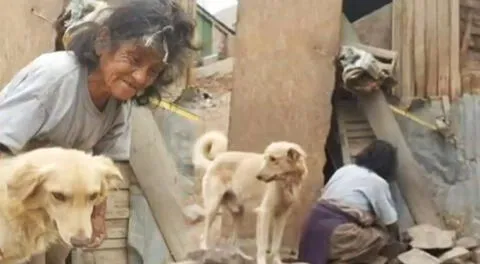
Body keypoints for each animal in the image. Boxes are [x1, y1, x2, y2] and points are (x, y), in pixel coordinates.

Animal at [192, 130, 308, 264]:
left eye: (273, 159)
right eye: (266, 158)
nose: (258, 176)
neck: (286, 183)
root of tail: (215, 160)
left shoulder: (282, 216)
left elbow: (276, 245)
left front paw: (276, 261)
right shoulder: (264, 213)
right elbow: (263, 244)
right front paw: (262, 261)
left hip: (239, 213)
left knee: (233, 242)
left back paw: (241, 256)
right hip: (213, 207)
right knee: (204, 235)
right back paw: (205, 250)